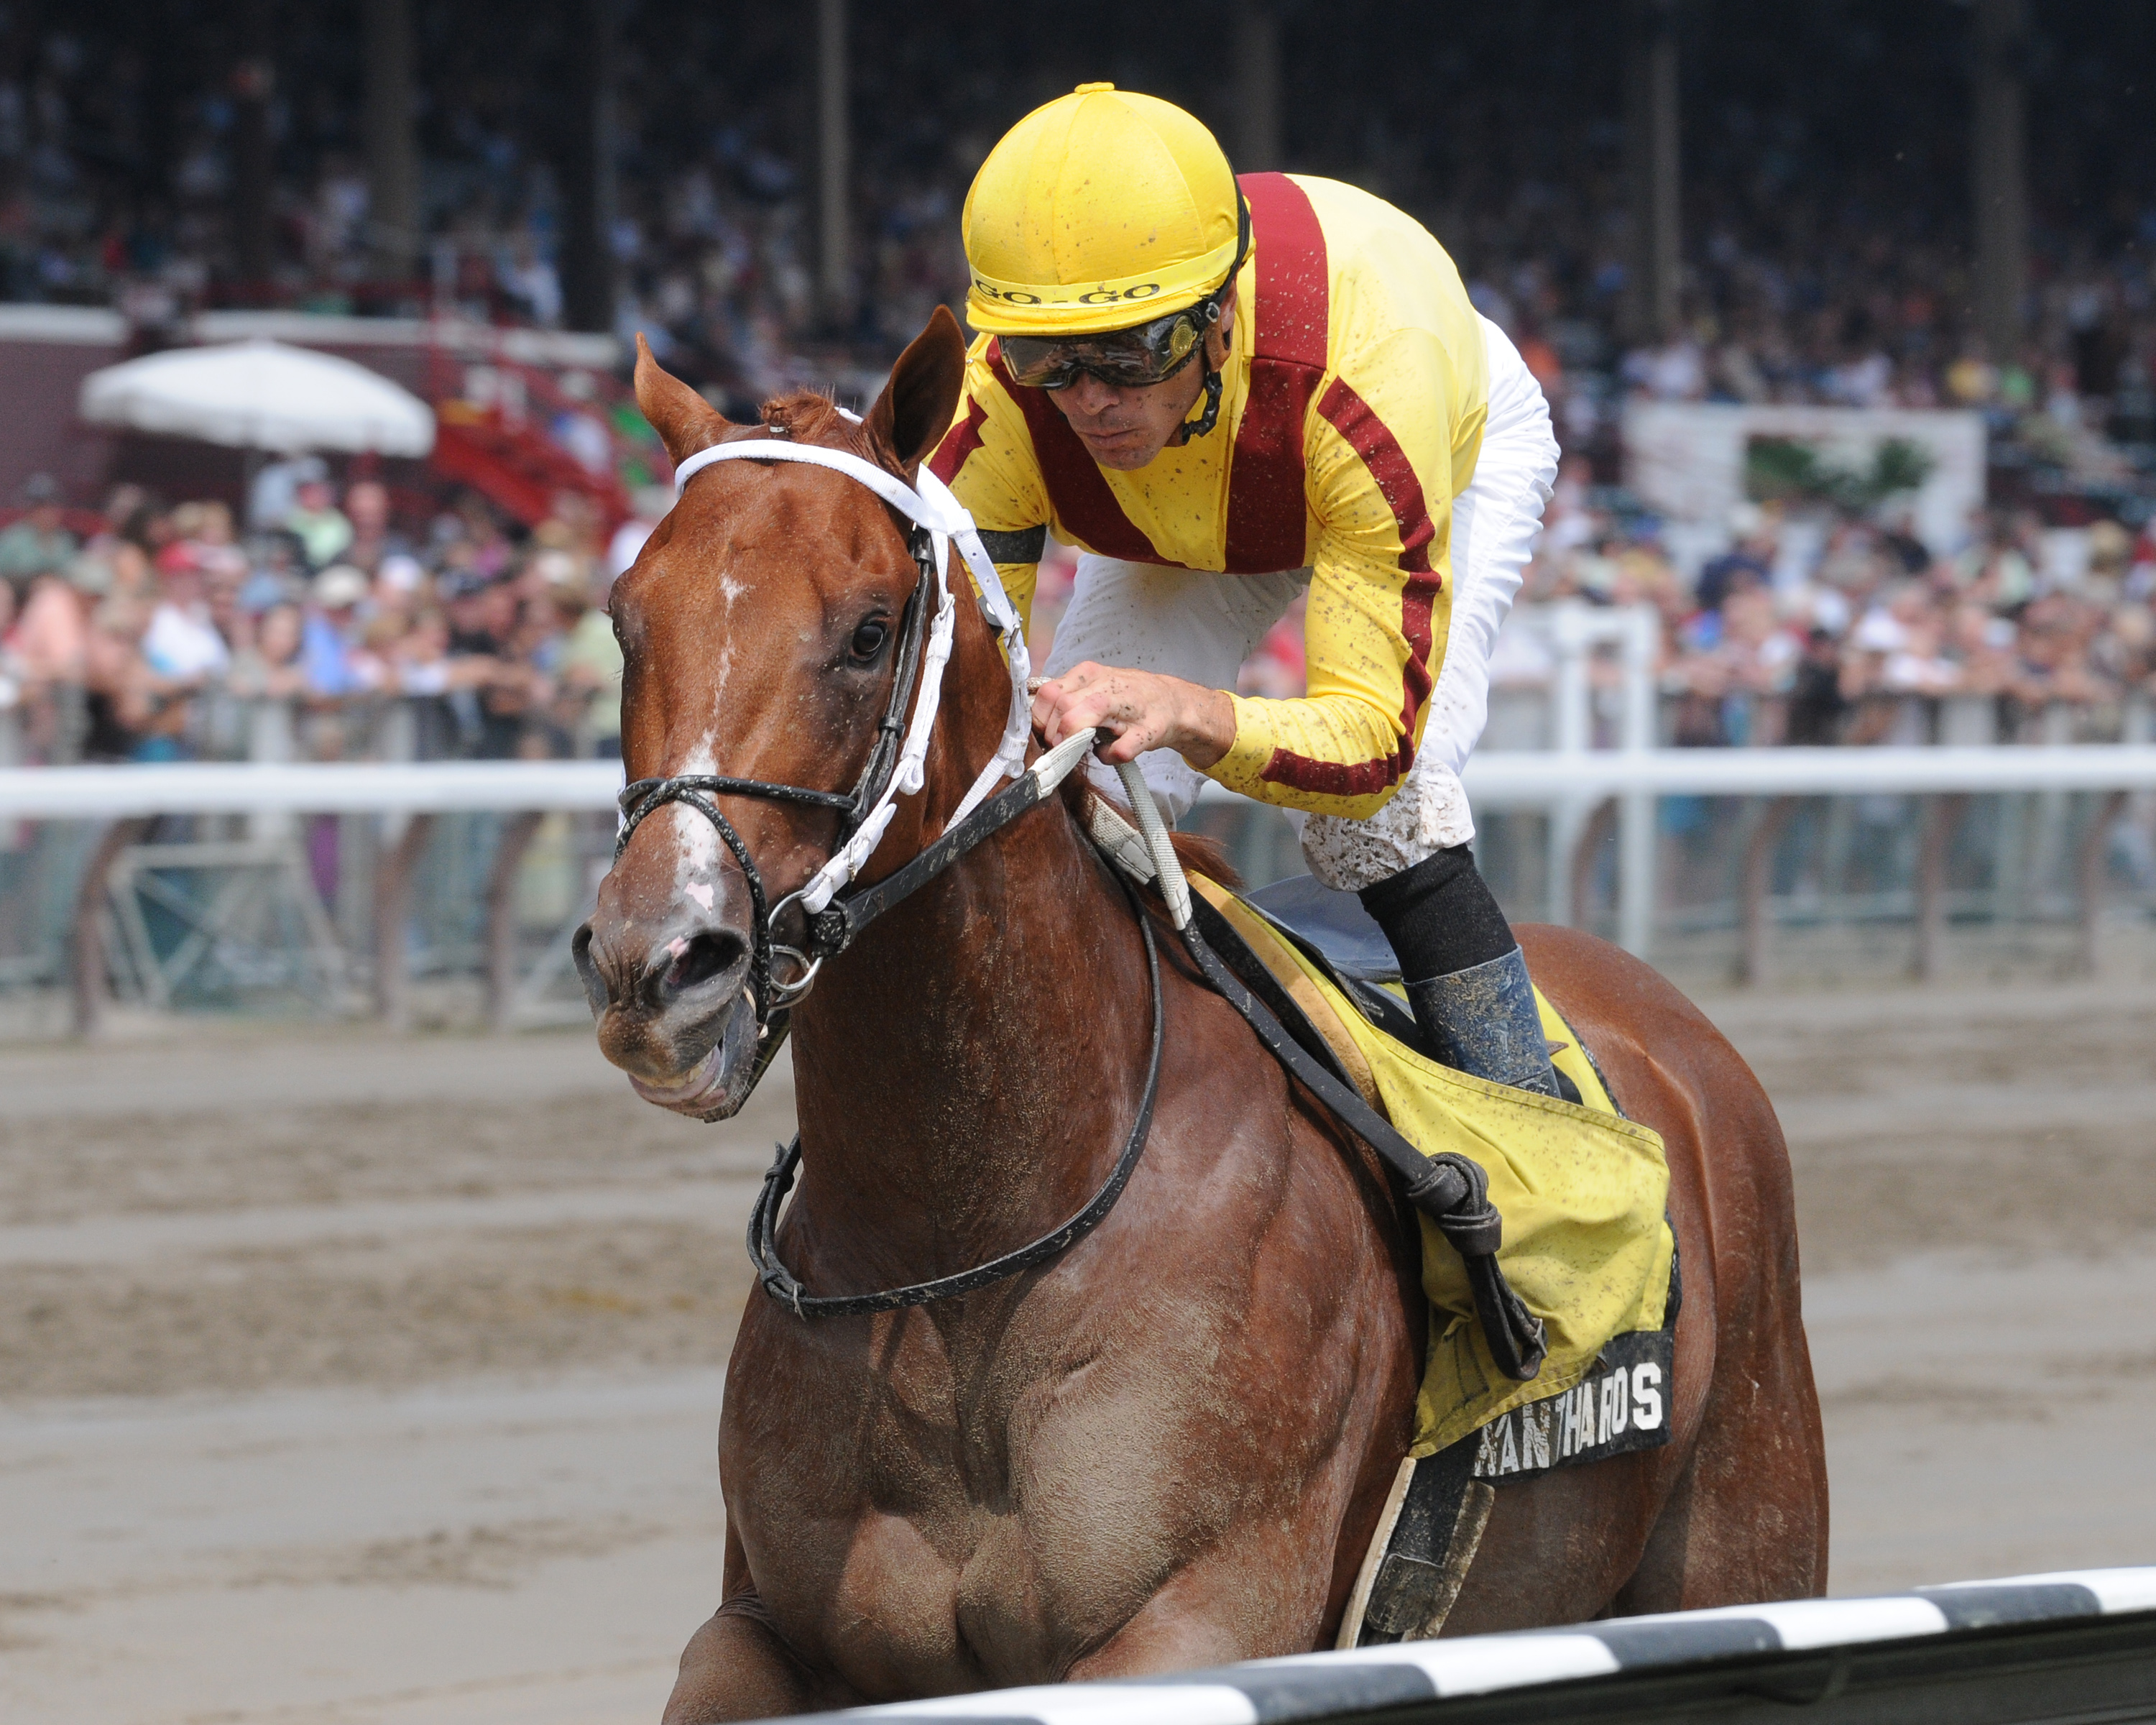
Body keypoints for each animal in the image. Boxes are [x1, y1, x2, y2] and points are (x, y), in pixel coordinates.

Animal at [573, 313, 1820, 1725]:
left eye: (869, 630)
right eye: (625, 621)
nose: (660, 963)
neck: (968, 1234)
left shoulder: (1201, 1617)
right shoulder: (765, 1630)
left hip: (1748, 1538)